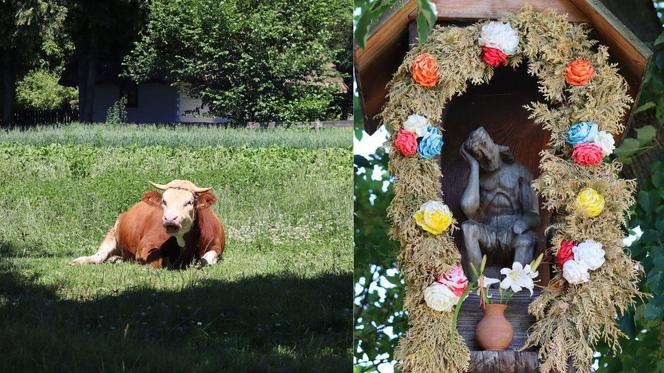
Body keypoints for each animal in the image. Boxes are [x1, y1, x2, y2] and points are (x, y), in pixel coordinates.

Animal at [70, 179, 226, 268]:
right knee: (98, 256)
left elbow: (205, 260)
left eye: (189, 202)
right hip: (112, 234)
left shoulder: (216, 246)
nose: (170, 218)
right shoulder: (146, 245)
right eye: (164, 201)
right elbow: (157, 260)